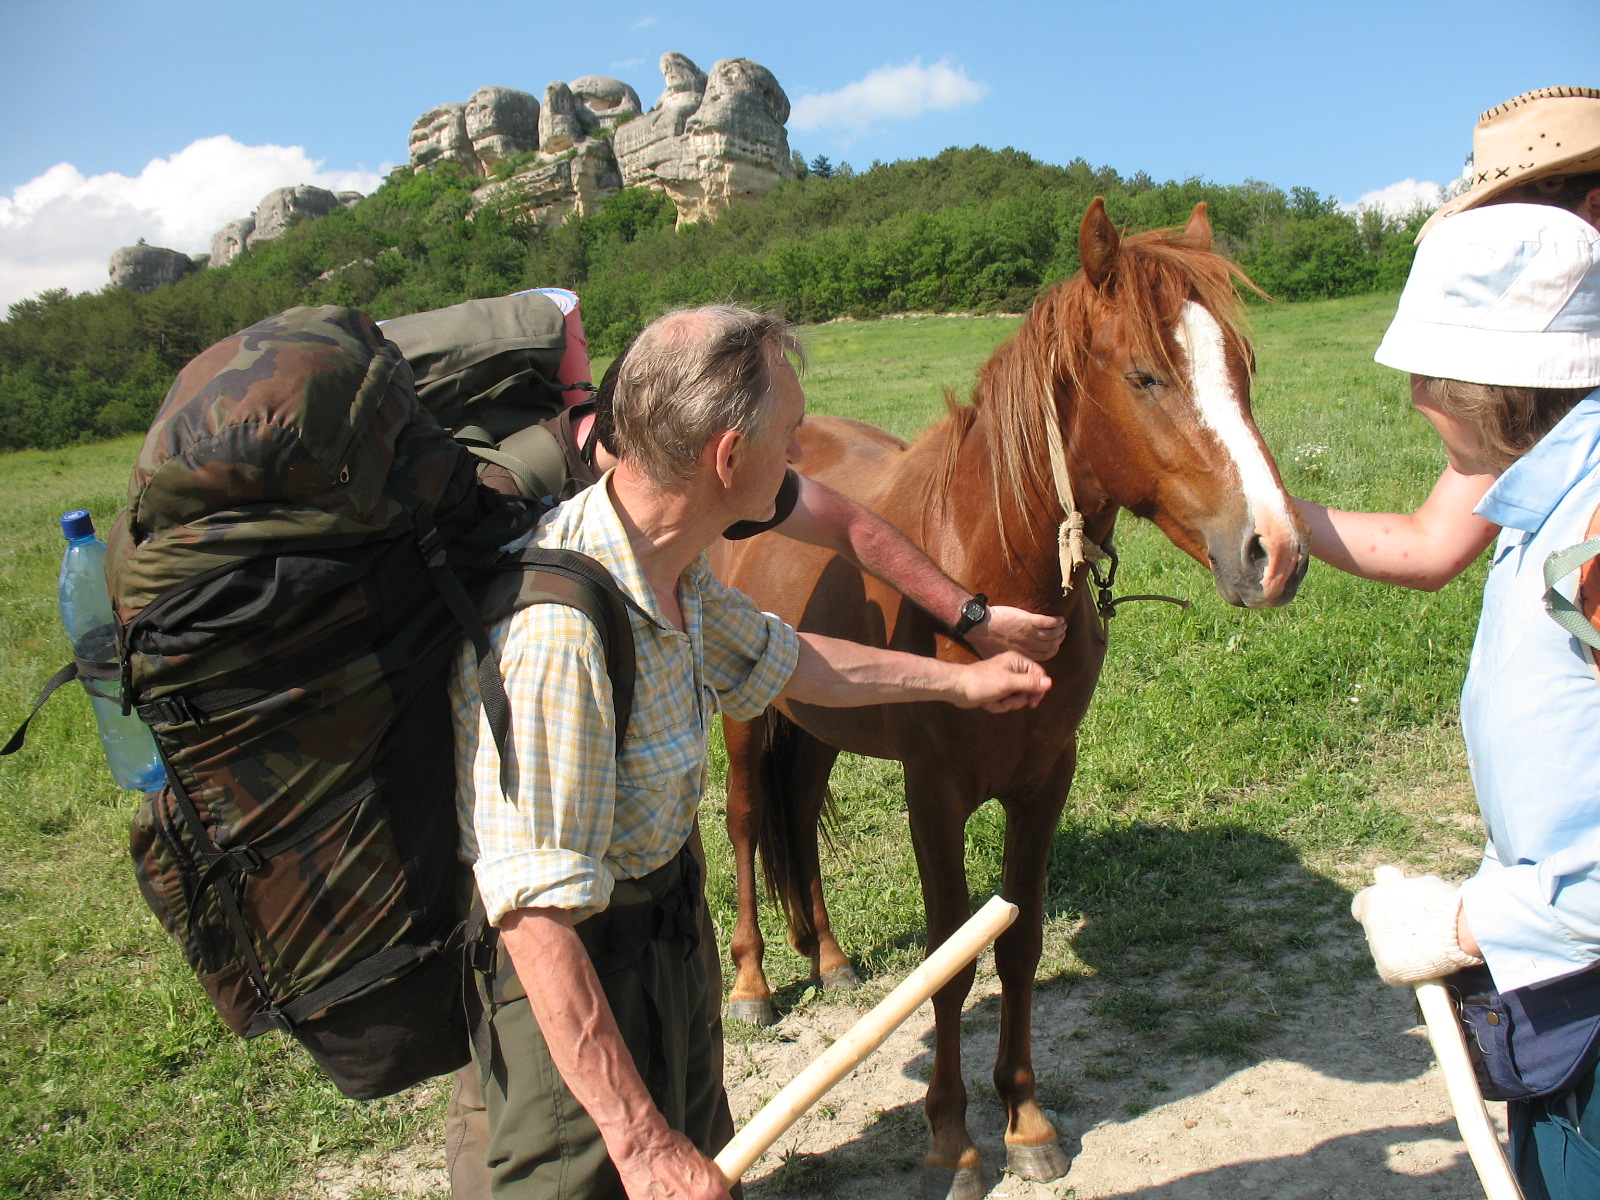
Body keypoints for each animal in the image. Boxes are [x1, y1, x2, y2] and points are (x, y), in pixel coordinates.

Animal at [716, 197, 1312, 1196]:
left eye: (1243, 367)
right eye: (1146, 375)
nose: (1277, 551)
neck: (988, 571)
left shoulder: (1044, 784)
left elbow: (1019, 945)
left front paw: (1026, 1122)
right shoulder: (933, 795)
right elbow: (947, 965)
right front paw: (953, 1141)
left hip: (819, 720)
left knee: (796, 814)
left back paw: (830, 960)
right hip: (744, 717)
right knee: (748, 822)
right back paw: (755, 986)